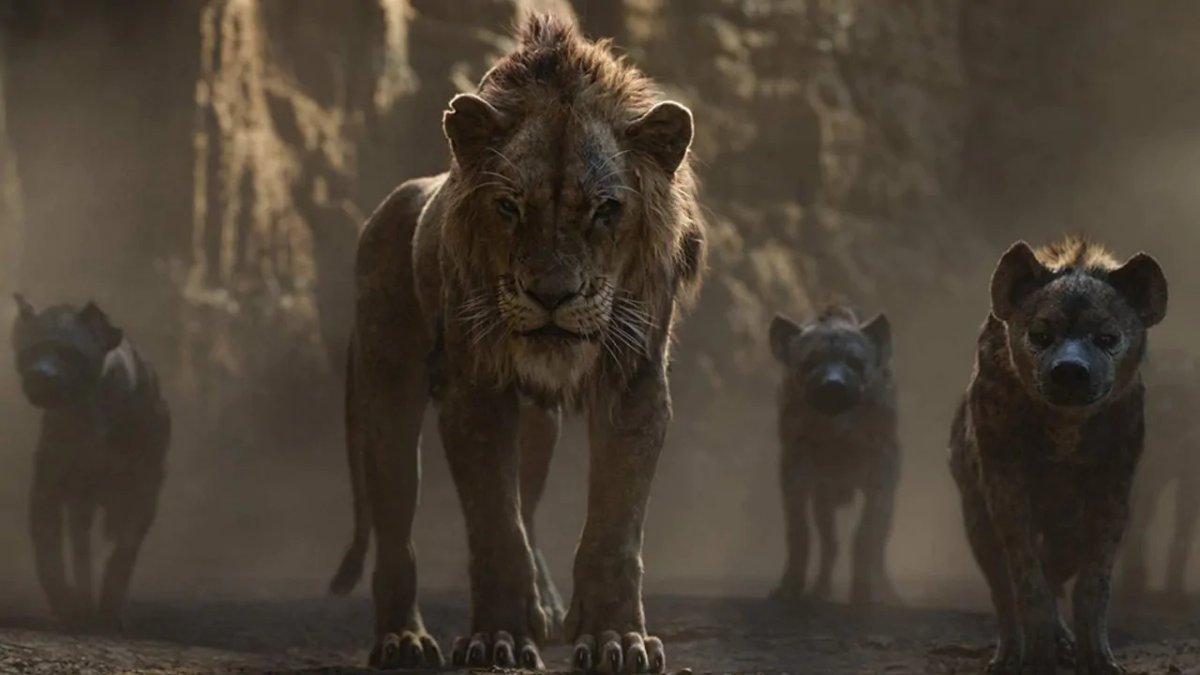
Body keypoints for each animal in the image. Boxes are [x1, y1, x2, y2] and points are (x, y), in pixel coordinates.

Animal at [327, 14, 705, 672]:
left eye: (605, 210)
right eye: (508, 206)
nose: (552, 294)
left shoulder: (635, 386)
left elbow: (612, 530)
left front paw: (614, 639)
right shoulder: (475, 393)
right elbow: (496, 530)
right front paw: (497, 639)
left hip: (536, 426)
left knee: (526, 503)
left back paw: (547, 607)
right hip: (386, 394)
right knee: (397, 529)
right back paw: (403, 640)